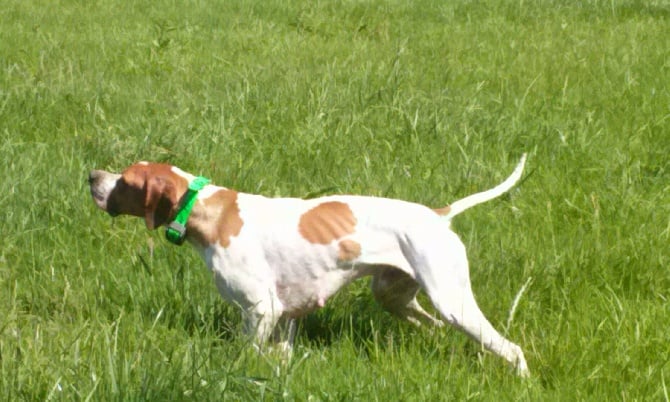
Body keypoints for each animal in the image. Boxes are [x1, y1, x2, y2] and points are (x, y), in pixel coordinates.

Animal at [88, 155, 532, 376]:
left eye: (125, 180)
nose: (91, 175)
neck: (208, 210)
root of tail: (439, 215)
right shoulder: (285, 316)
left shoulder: (261, 309)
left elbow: (246, 354)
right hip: (396, 297)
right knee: (436, 329)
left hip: (452, 300)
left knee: (511, 348)